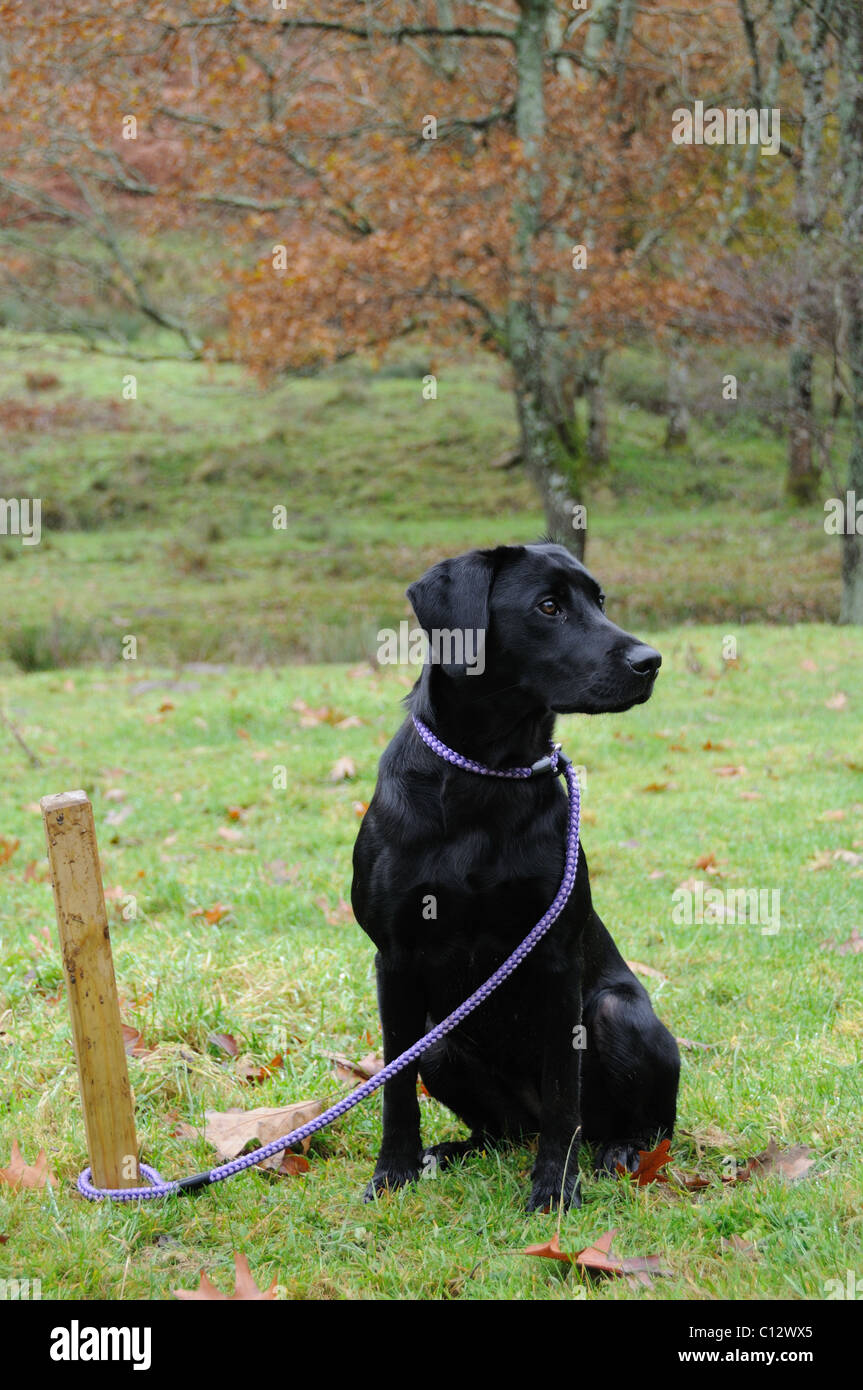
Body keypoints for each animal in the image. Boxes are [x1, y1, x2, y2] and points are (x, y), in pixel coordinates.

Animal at [350, 536, 680, 1212]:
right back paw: (450, 1152)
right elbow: (395, 1090)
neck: (487, 774)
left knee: (639, 1123)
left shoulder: (554, 957)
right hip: (440, 1039)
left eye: (600, 600)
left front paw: (555, 1186)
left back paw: (621, 1150)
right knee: (497, 1131)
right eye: (548, 606)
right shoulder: (394, 958)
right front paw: (392, 1172)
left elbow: (562, 1096)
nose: (651, 661)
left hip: (616, 1014)